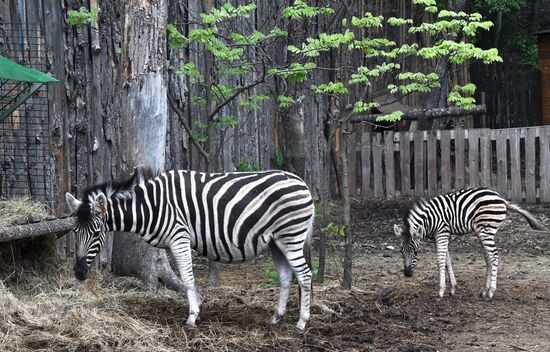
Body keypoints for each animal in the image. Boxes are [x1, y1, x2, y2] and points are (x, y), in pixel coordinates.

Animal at [65, 168, 314, 330]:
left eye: (96, 233)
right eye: (75, 232)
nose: (78, 273)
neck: (152, 206)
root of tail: (302, 182)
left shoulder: (179, 238)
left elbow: (187, 278)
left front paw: (193, 317)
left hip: (291, 236)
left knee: (304, 275)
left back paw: (302, 322)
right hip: (276, 241)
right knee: (286, 276)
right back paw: (276, 318)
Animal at [394, 187, 544, 300]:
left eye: (415, 252)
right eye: (401, 252)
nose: (407, 274)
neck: (429, 220)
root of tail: (501, 198)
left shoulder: (442, 232)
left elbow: (440, 261)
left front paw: (441, 291)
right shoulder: (440, 235)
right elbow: (447, 260)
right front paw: (453, 288)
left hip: (486, 229)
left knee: (494, 255)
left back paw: (491, 292)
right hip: (483, 231)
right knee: (488, 257)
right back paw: (485, 290)